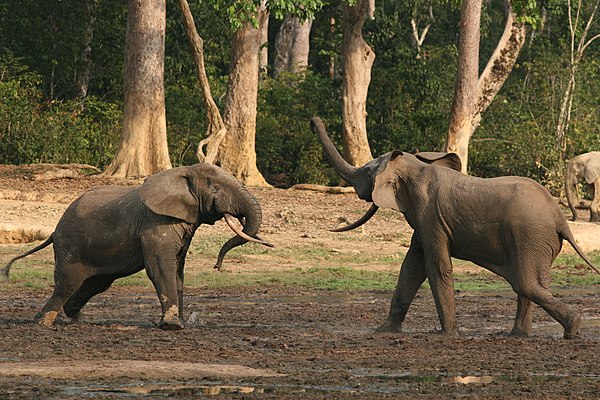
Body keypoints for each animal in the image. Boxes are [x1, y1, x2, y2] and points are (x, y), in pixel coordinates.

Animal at [1, 162, 274, 328]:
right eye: (216, 187)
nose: (217, 267)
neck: (182, 172)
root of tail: (54, 230)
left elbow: (178, 270)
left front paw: (181, 323)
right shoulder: (156, 223)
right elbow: (161, 267)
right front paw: (172, 326)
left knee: (96, 283)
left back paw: (76, 319)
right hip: (70, 245)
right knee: (68, 283)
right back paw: (42, 322)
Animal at [312, 117, 596, 340]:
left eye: (367, 172)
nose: (314, 121)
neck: (418, 167)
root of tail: (560, 219)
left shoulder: (430, 216)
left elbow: (436, 267)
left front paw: (448, 334)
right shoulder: (424, 222)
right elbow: (411, 268)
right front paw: (383, 331)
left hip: (529, 236)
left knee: (524, 283)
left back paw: (573, 328)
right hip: (536, 241)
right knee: (528, 284)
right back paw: (519, 335)